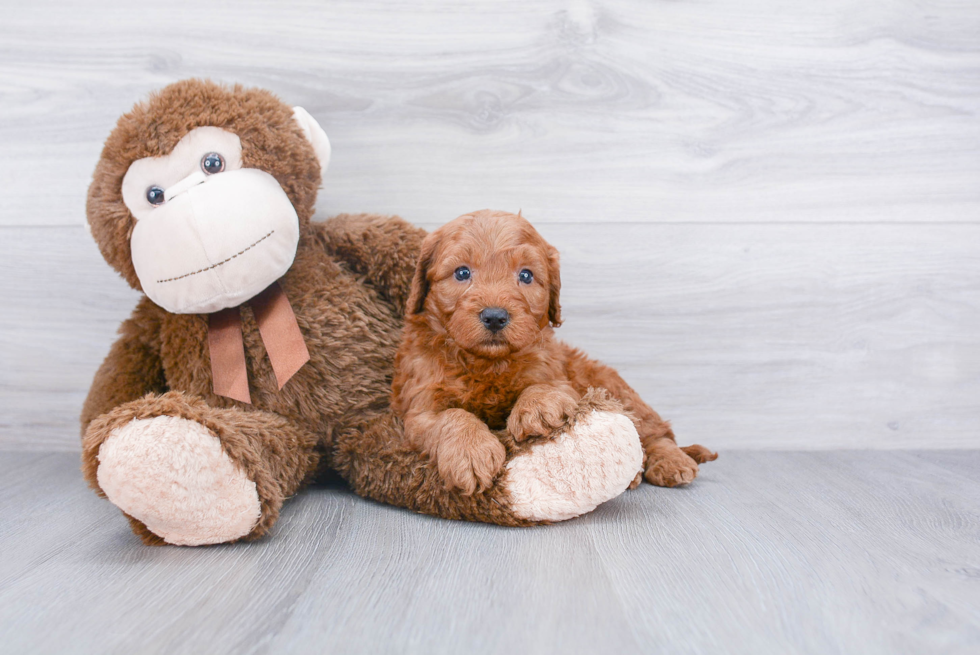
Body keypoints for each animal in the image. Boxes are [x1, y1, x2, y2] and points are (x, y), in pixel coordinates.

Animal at [390, 213, 720, 494]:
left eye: (526, 276)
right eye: (462, 272)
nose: (495, 316)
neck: (489, 364)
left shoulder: (559, 375)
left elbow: (546, 386)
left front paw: (536, 408)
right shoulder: (418, 410)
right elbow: (452, 415)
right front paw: (471, 453)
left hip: (614, 388)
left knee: (656, 432)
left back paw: (671, 462)